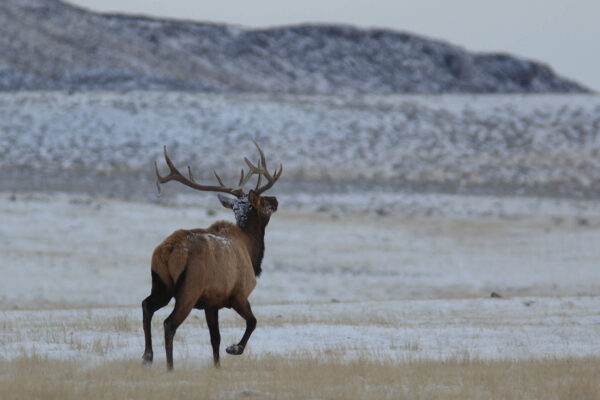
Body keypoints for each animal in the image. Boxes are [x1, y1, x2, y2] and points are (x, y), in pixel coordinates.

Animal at [142, 140, 282, 368]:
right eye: (262, 201)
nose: (276, 199)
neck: (252, 251)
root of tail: (169, 249)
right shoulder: (239, 293)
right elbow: (252, 322)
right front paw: (234, 348)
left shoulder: (211, 303)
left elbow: (215, 338)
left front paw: (217, 366)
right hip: (189, 289)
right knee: (169, 323)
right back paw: (170, 367)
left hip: (161, 283)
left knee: (146, 305)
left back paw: (147, 356)